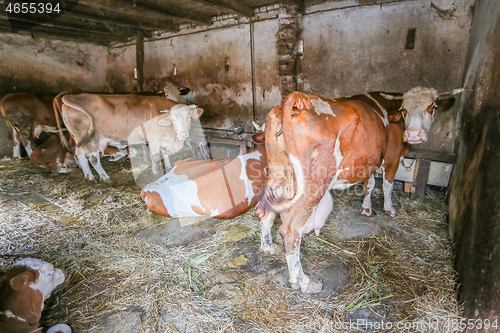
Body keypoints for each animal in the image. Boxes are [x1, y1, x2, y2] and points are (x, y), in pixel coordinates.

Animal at [60, 93, 203, 180]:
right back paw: (105, 177)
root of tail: (74, 96)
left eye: (188, 117)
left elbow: (165, 154)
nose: (183, 133)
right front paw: (156, 173)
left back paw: (89, 176)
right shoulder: (154, 139)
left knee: (80, 155)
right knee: (93, 158)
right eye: (173, 119)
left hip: (80, 139)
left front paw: (168, 167)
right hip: (92, 140)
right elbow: (155, 157)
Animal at [256, 87, 466, 292]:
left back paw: (268, 247)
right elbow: (387, 185)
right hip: (313, 184)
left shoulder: (368, 162)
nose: (414, 134)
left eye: (432, 106)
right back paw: (303, 281)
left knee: (265, 212)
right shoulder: (392, 158)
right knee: (291, 230)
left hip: (277, 172)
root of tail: (299, 102)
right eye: (404, 109)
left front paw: (366, 208)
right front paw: (389, 208)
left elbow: (370, 184)